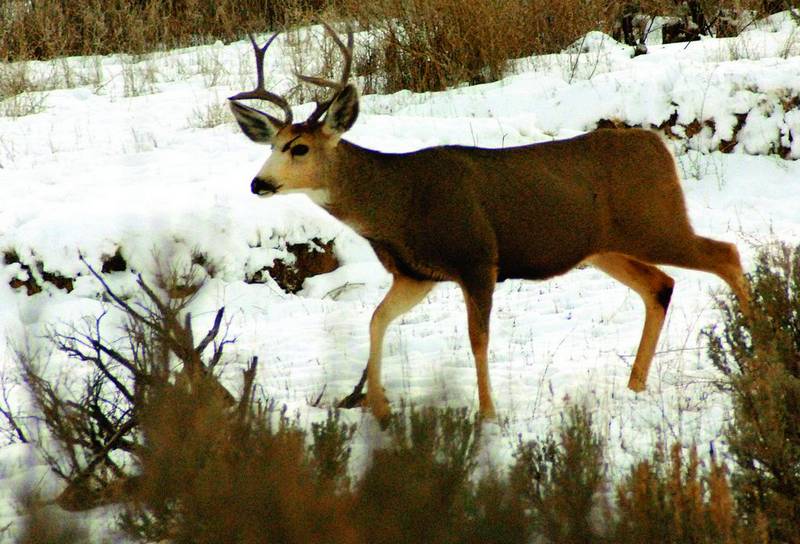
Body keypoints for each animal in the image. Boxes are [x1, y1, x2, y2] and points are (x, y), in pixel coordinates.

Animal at [228, 24, 751, 423]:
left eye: (299, 148)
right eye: (271, 144)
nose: (258, 183)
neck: (398, 203)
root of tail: (658, 145)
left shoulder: (478, 258)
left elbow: (477, 340)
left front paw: (488, 414)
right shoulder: (416, 274)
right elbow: (377, 320)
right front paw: (379, 407)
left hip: (657, 222)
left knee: (725, 254)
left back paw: (754, 347)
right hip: (605, 247)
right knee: (660, 285)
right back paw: (636, 385)